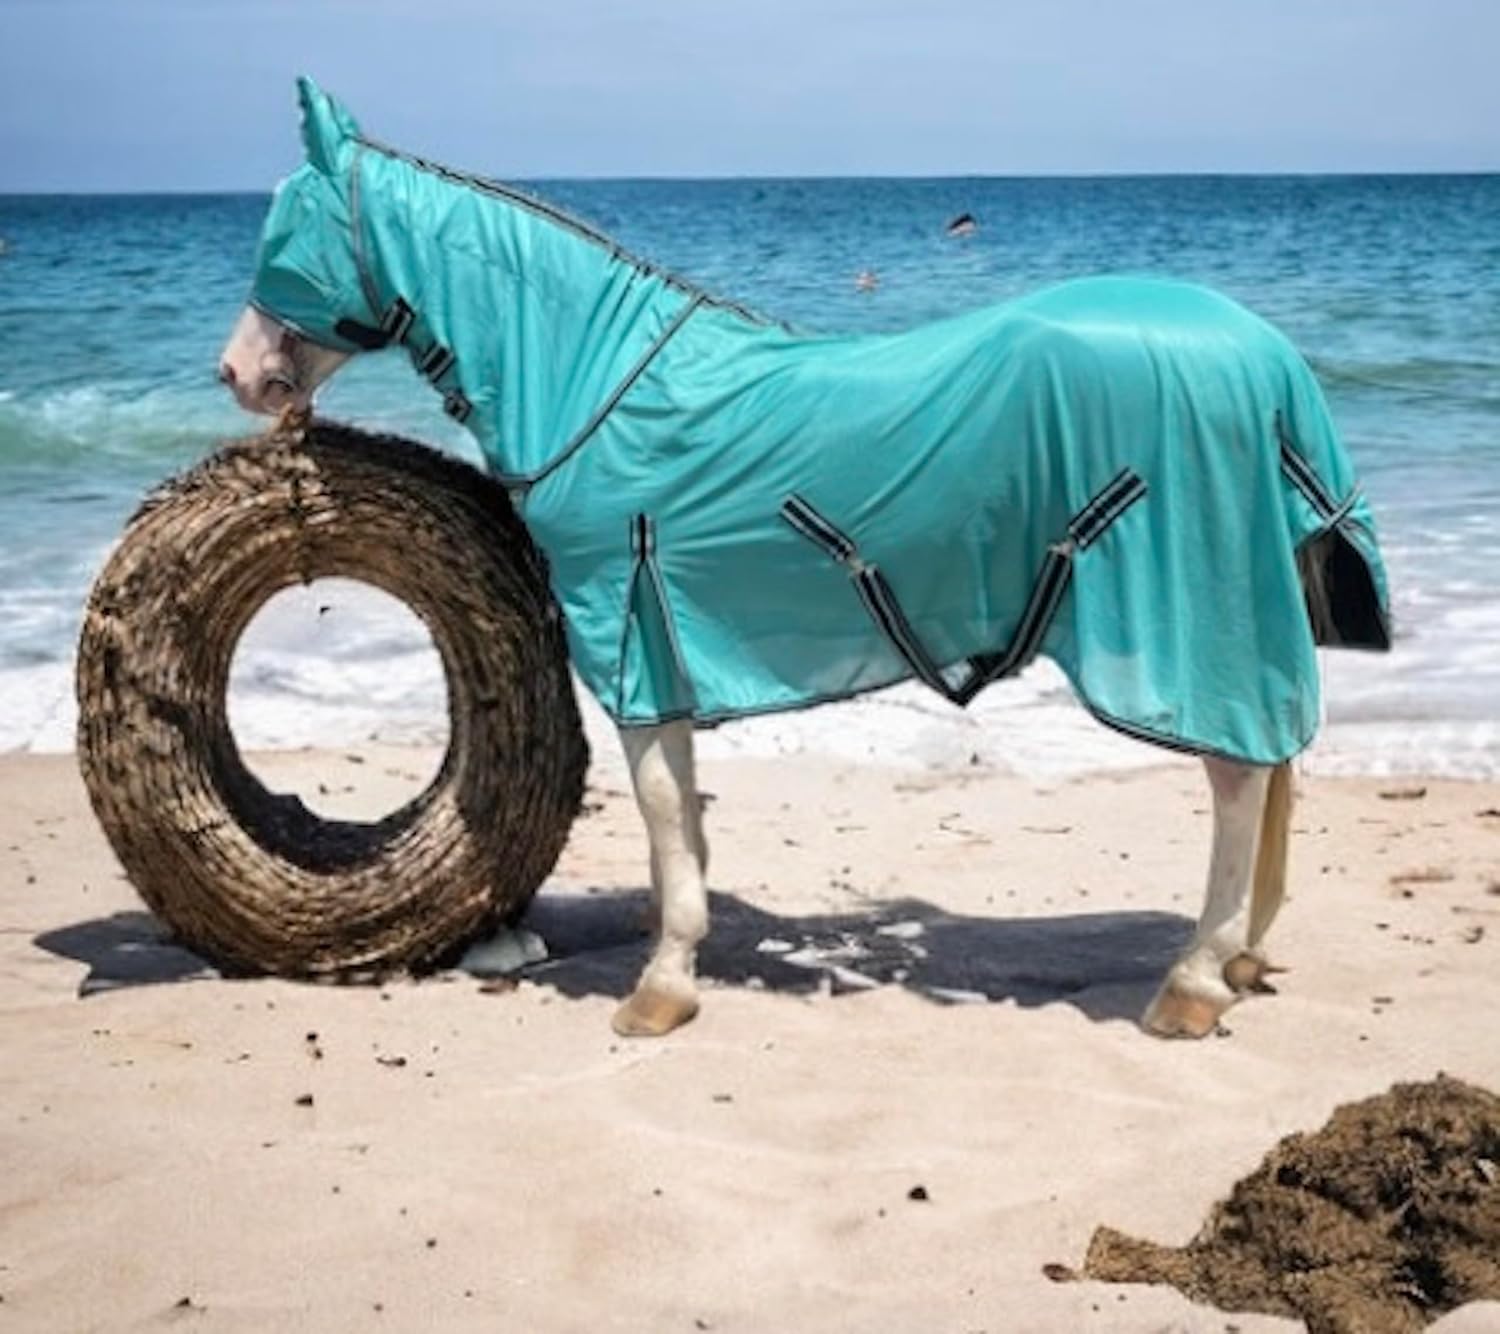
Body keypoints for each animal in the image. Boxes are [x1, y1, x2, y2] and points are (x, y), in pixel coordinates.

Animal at [220, 79, 1390, 1040]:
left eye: (286, 226)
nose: (235, 372)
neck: (603, 380)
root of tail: (1261, 351)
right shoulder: (667, 646)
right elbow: (685, 816)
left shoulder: (635, 642)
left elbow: (661, 815)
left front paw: (661, 987)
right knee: (1273, 766)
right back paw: (1238, 959)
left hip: (1191, 624)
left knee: (1240, 773)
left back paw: (1194, 979)